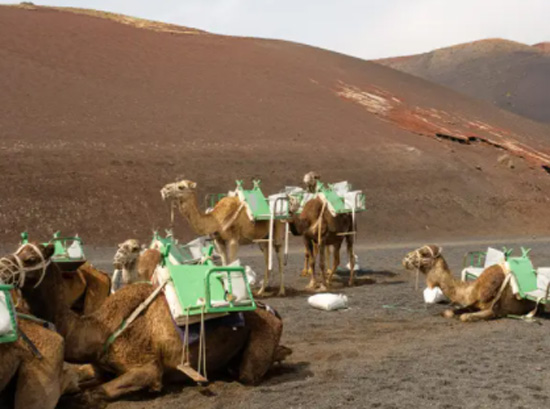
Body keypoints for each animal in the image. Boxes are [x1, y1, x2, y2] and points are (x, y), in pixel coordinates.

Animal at [9, 241, 288, 404]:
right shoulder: (100, 366)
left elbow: (92, 394)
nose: (4, 266)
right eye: (18, 250)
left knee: (248, 373)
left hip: (258, 345)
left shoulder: (147, 368)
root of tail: (273, 312)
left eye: (31, 258)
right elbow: (78, 379)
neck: (100, 329)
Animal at [404, 244, 536, 320]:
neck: (472, 289)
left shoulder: (495, 310)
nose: (406, 258)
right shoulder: (473, 303)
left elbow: (464, 317)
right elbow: (449, 312)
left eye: (424, 253)